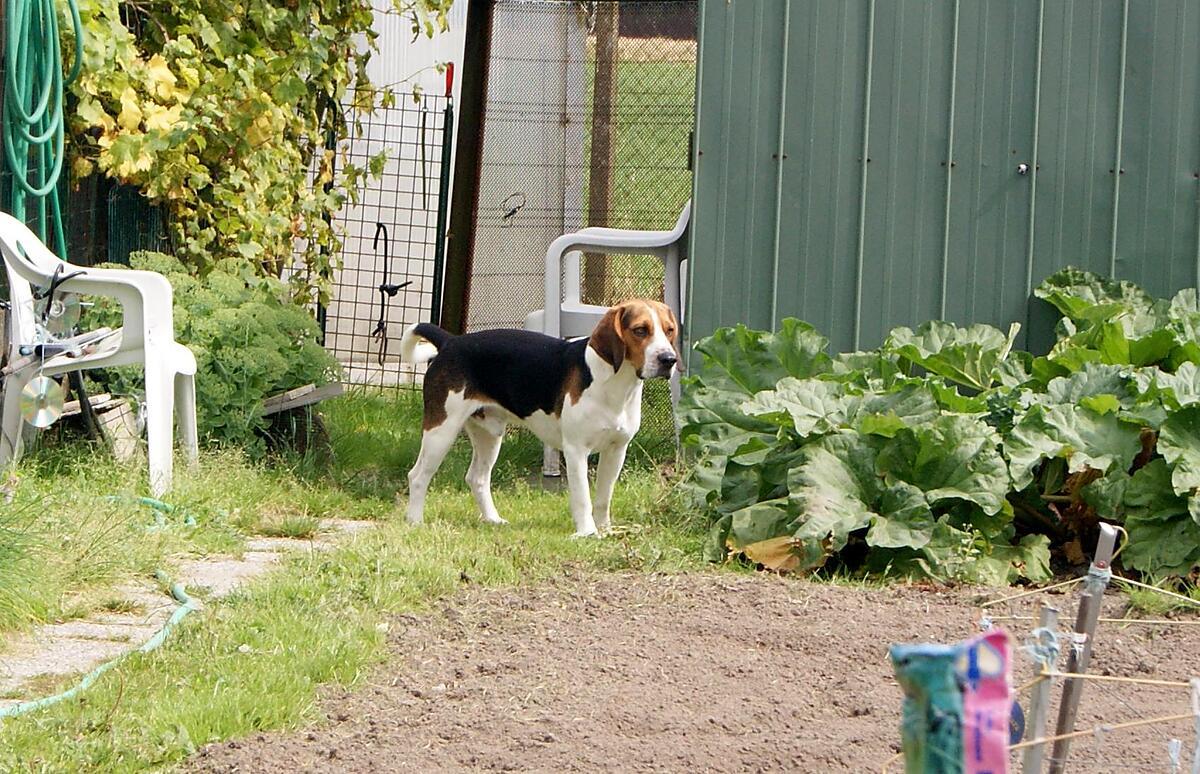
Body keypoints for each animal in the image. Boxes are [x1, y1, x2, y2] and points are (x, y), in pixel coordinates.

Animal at [400, 298, 681, 535]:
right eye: (640, 330)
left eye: (669, 330)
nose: (669, 359)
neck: (613, 382)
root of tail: (451, 341)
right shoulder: (576, 450)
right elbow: (583, 497)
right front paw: (588, 533)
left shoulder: (616, 450)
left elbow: (603, 498)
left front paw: (605, 531)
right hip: (441, 431)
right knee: (418, 476)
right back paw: (415, 522)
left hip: (489, 434)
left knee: (477, 478)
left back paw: (492, 519)